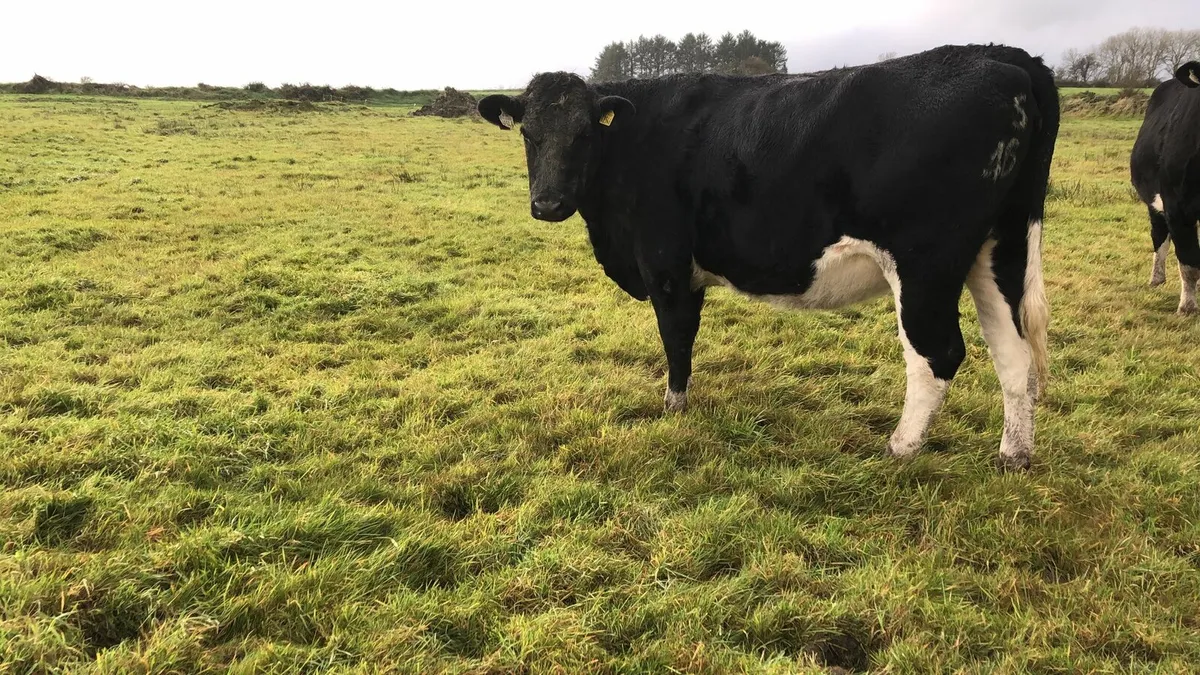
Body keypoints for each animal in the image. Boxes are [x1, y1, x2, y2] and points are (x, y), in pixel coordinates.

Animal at [478, 44, 1059, 471]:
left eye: (583, 133)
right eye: (528, 133)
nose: (548, 204)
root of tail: (997, 55)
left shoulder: (665, 262)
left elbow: (676, 338)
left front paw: (674, 409)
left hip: (925, 262)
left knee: (938, 354)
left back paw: (898, 449)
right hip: (998, 249)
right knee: (1014, 354)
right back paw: (1014, 455)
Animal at [1131, 62, 1200, 314]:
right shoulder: (1178, 207)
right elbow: (1190, 263)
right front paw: (1187, 308)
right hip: (1155, 201)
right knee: (1159, 234)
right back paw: (1156, 278)